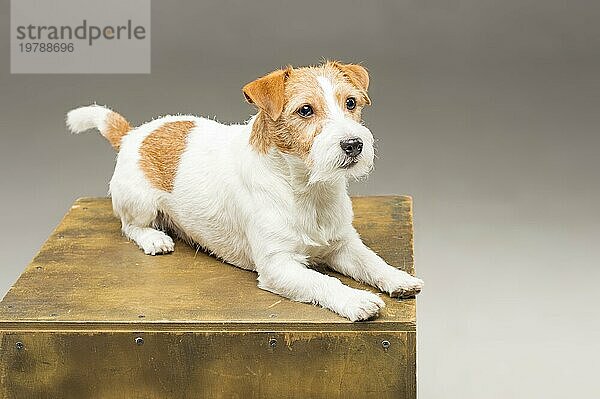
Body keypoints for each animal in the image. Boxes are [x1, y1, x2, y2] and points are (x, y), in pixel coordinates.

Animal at [67, 60, 422, 322]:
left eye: (351, 102)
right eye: (305, 110)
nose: (354, 144)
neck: (306, 189)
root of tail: (133, 134)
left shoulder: (343, 245)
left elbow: (371, 261)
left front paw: (397, 278)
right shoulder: (278, 267)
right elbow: (322, 280)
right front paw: (355, 299)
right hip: (138, 201)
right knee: (130, 226)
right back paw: (154, 238)